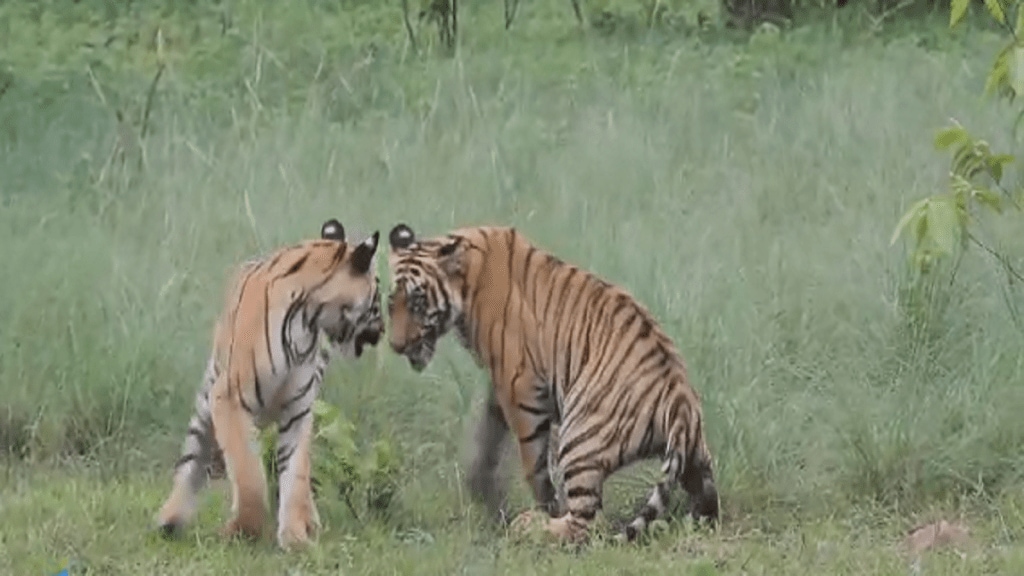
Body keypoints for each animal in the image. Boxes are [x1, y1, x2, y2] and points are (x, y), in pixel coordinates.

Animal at [155, 217, 385, 549]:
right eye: (377, 297)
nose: (382, 331)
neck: (308, 318)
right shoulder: (230, 399)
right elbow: (250, 475)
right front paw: (241, 531)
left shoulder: (299, 411)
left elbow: (296, 475)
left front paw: (295, 537)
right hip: (208, 401)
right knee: (191, 461)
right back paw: (170, 519)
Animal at [385, 222, 720, 541]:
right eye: (391, 304)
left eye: (417, 302)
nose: (396, 346)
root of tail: (680, 401)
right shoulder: (500, 385)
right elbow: (487, 438)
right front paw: (484, 492)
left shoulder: (519, 386)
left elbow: (533, 464)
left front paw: (543, 506)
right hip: (695, 456)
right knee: (705, 493)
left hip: (579, 440)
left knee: (588, 524)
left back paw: (531, 526)